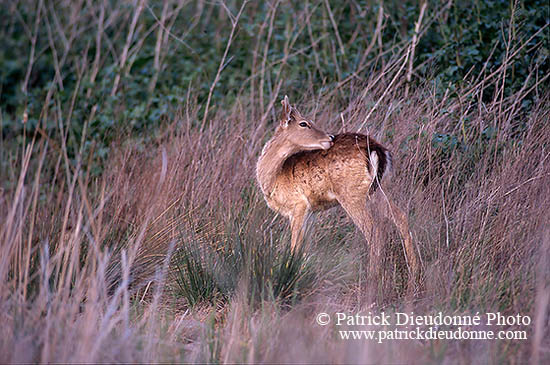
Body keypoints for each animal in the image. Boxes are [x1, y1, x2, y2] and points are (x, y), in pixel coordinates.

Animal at [256, 95, 420, 288]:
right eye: (304, 123)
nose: (330, 136)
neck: (274, 177)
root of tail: (377, 149)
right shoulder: (311, 211)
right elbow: (305, 246)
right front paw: (302, 272)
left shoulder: (298, 205)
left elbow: (295, 245)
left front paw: (291, 274)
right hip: (379, 190)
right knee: (401, 217)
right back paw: (414, 273)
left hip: (352, 194)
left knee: (374, 230)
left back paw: (373, 278)